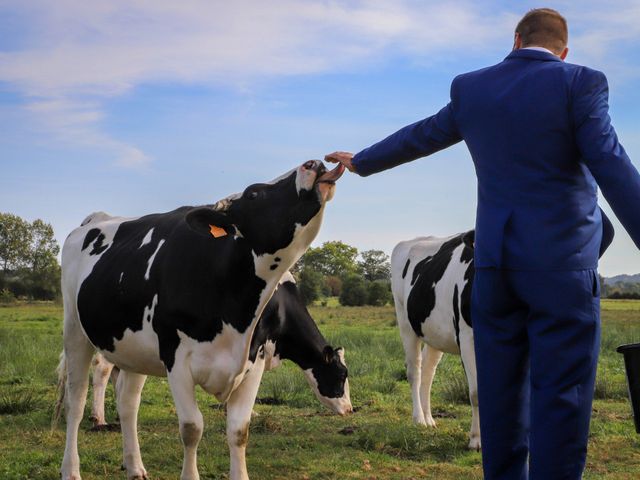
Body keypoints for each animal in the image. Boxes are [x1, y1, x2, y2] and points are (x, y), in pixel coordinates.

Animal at [388, 232, 478, 450]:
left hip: (434, 335)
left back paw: (429, 418)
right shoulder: (467, 338)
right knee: (415, 372)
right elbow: (475, 393)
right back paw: (419, 418)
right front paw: (476, 440)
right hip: (406, 323)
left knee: (428, 372)